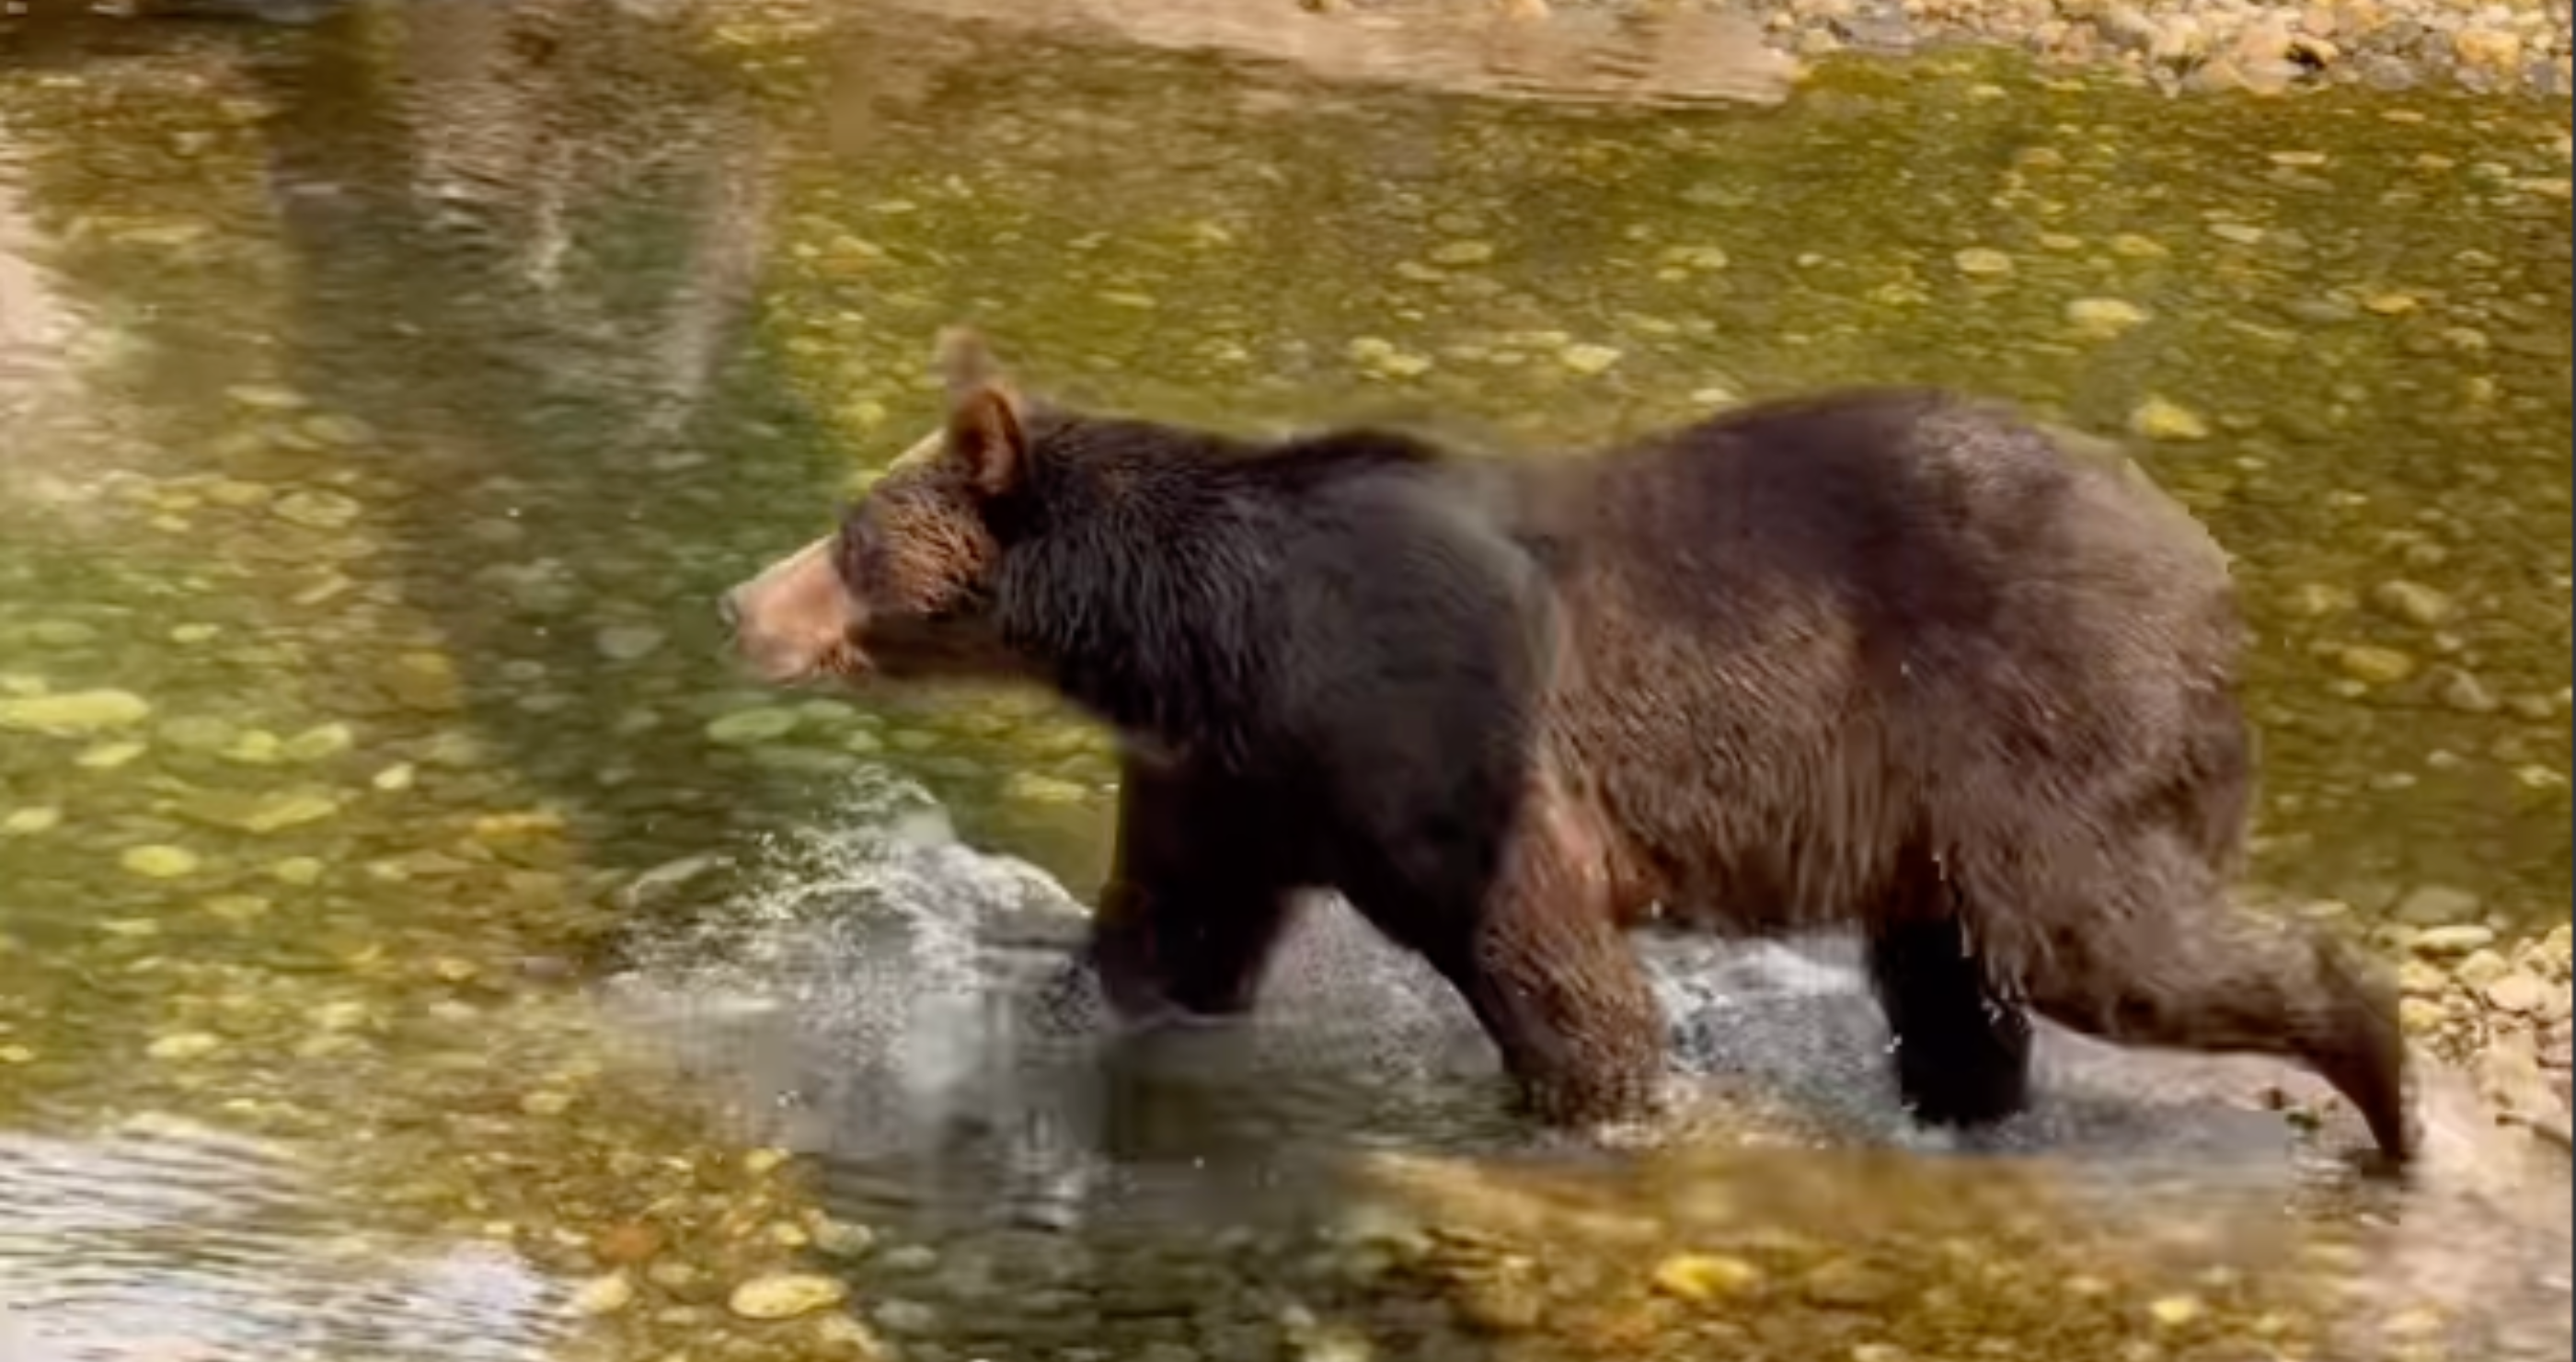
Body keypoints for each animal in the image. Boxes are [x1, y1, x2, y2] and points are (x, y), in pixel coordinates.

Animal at [722, 327, 2413, 1168]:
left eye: (850, 534)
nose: (742, 599)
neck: (1198, 633)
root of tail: (2210, 570)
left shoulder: (1419, 720)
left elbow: (1541, 952)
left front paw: (1591, 1107)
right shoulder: (1232, 768)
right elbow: (1169, 934)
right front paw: (1042, 1008)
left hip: (2035, 718)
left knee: (2100, 938)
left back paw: (2385, 1095)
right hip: (1932, 805)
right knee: (1955, 980)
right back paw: (1963, 1115)